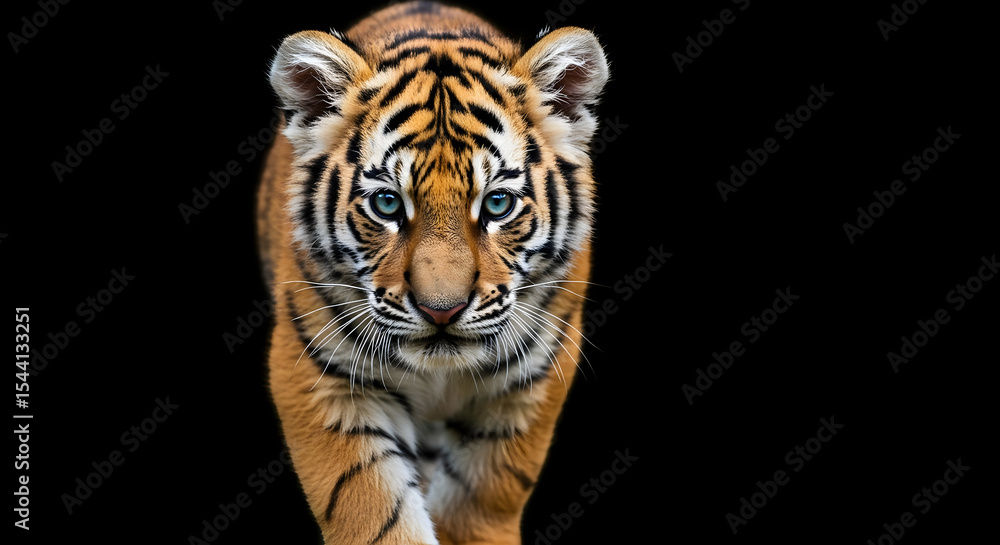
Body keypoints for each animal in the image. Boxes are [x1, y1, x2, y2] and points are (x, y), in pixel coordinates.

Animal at [256, 2, 609, 543]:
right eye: (387, 204)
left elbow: (477, 506)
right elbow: (372, 511)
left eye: (498, 204)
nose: (441, 311)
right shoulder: (323, 379)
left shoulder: (527, 387)